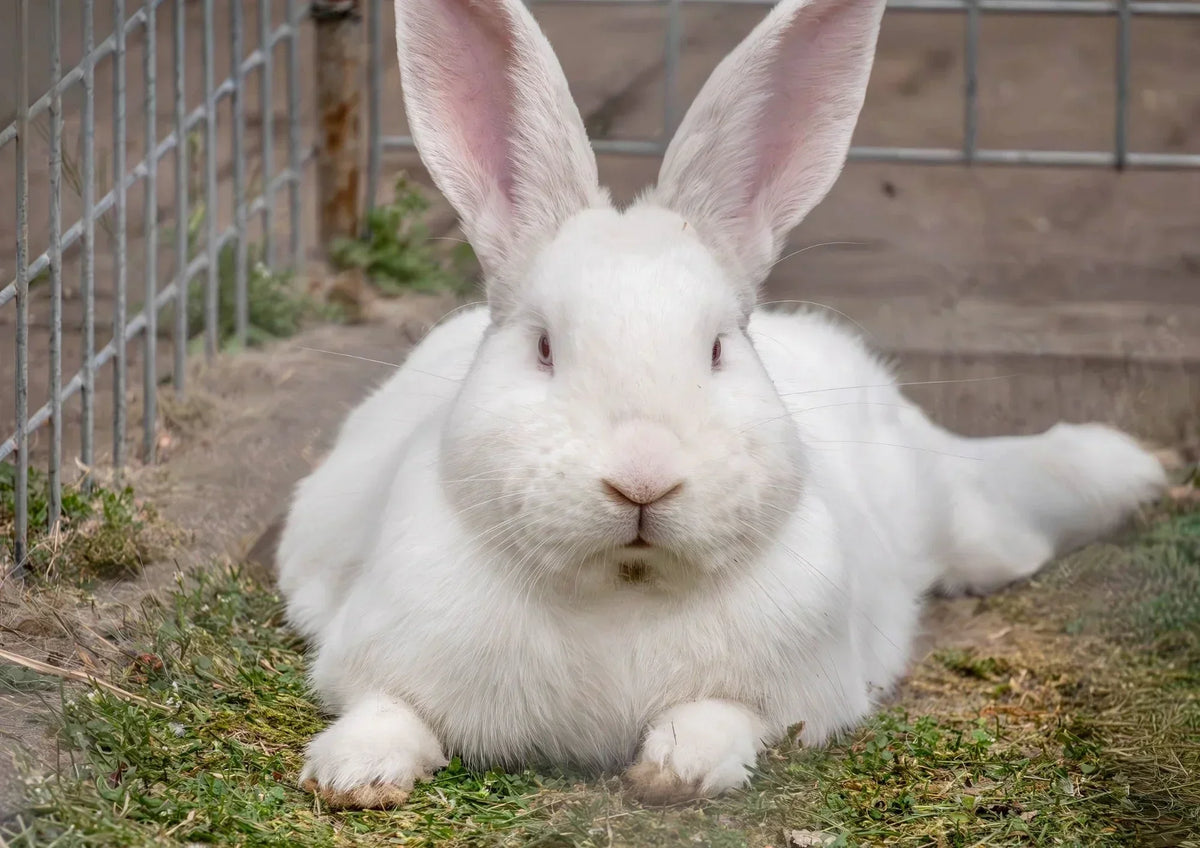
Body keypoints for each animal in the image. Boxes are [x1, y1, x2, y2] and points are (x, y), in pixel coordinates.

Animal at [276, 0, 1167, 809]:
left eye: (717, 348)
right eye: (544, 348)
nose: (642, 479)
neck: (623, 588)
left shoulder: (799, 690)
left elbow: (722, 717)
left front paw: (676, 771)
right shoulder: (375, 648)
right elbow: (386, 710)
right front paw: (353, 775)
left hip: (959, 518)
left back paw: (1128, 473)